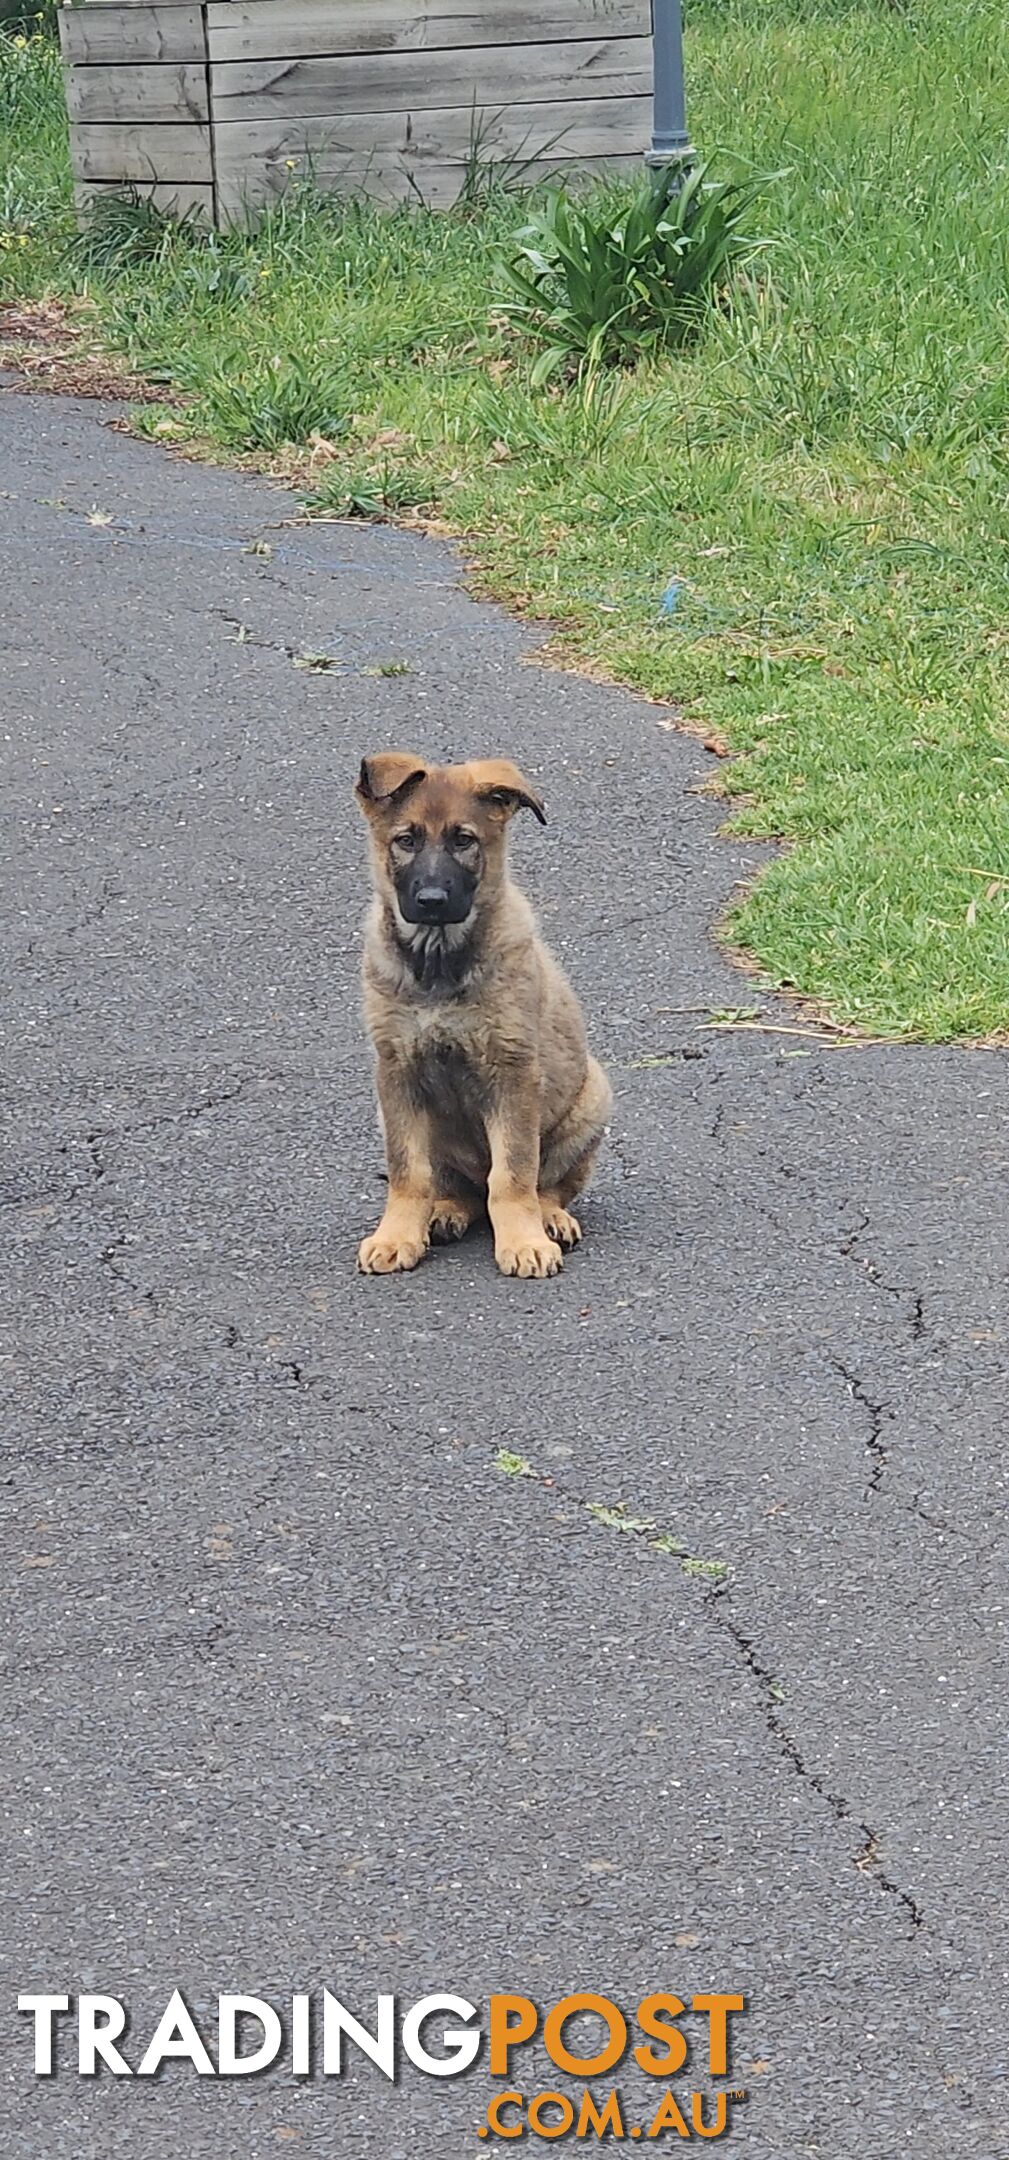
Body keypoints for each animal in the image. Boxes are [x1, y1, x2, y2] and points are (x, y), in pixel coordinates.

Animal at [356, 751, 613, 1270]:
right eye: (406, 840)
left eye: (464, 840)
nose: (432, 901)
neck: (438, 962)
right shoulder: (396, 1070)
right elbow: (408, 1170)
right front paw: (396, 1235)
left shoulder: (512, 1070)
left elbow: (513, 1172)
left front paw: (524, 1242)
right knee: (459, 1189)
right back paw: (445, 1211)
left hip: (594, 1096)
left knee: (541, 1185)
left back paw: (549, 1219)